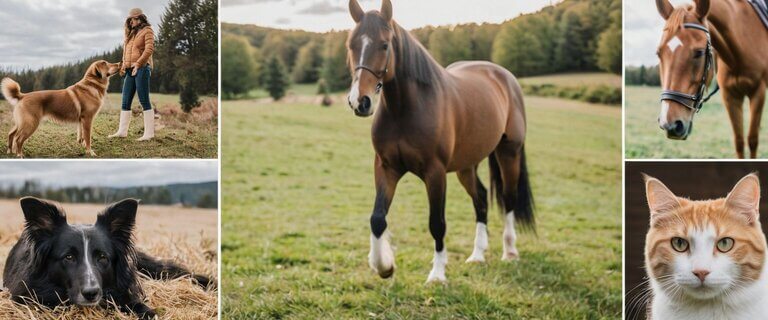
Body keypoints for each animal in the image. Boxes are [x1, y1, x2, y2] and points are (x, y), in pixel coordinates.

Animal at [346, 0, 536, 282]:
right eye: (351, 45)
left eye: (384, 45)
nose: (360, 101)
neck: (405, 109)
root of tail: (504, 77)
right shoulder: (386, 168)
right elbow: (377, 218)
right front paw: (384, 266)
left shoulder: (435, 173)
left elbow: (437, 223)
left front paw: (437, 275)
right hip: (466, 166)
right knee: (481, 198)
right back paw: (477, 255)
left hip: (508, 153)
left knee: (509, 198)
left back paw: (510, 252)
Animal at [656, 0, 768, 158]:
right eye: (658, 53)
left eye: (698, 52)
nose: (670, 125)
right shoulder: (730, 96)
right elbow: (739, 141)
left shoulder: (758, 92)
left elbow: (752, 139)